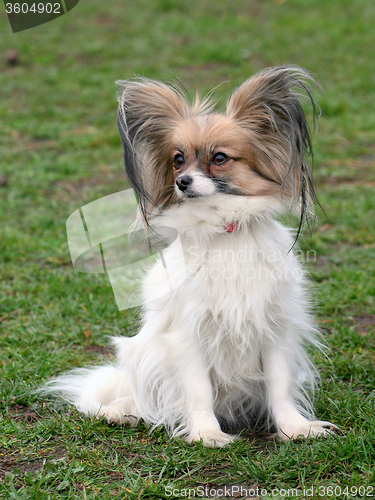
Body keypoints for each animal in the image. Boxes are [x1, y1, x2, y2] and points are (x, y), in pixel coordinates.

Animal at [44, 65, 334, 446]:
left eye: (219, 158)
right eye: (177, 160)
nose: (182, 181)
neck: (225, 229)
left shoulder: (273, 327)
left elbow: (280, 385)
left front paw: (295, 428)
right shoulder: (187, 335)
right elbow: (198, 391)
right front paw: (207, 434)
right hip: (144, 353)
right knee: (141, 396)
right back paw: (121, 411)